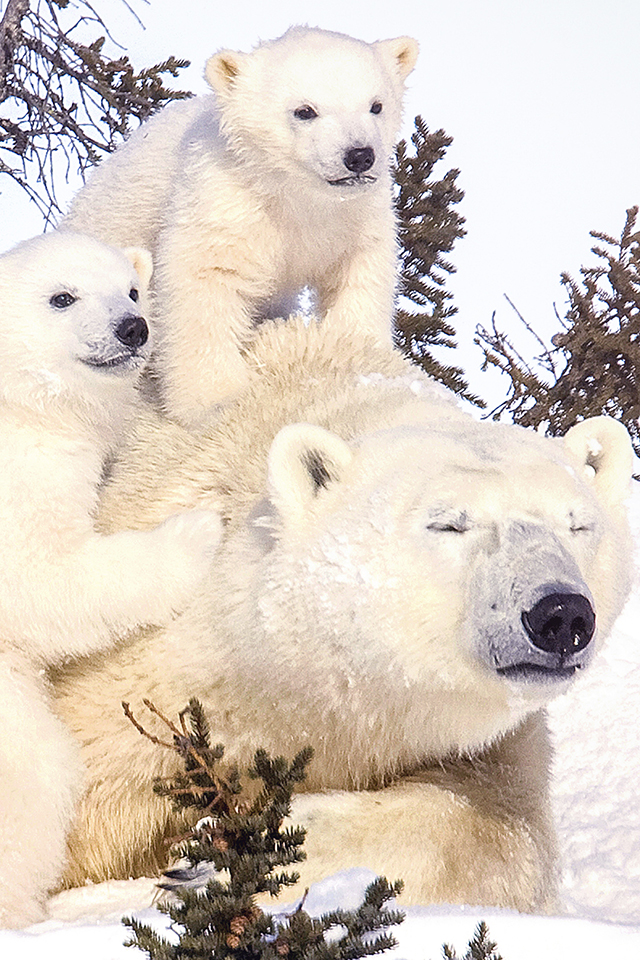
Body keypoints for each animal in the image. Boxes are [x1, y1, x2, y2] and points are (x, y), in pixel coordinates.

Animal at [0, 229, 222, 928]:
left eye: (130, 288)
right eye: (61, 296)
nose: (133, 328)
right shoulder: (17, 477)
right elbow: (41, 578)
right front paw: (198, 529)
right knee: (42, 776)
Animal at [47, 318, 632, 920]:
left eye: (578, 524)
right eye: (448, 523)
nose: (559, 614)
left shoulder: (485, 743)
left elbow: (504, 831)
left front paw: (219, 857)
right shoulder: (131, 688)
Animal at [65, 27, 420, 424]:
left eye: (376, 105)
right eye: (305, 111)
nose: (359, 155)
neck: (293, 198)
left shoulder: (355, 216)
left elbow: (359, 274)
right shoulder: (226, 202)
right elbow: (204, 280)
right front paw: (213, 399)